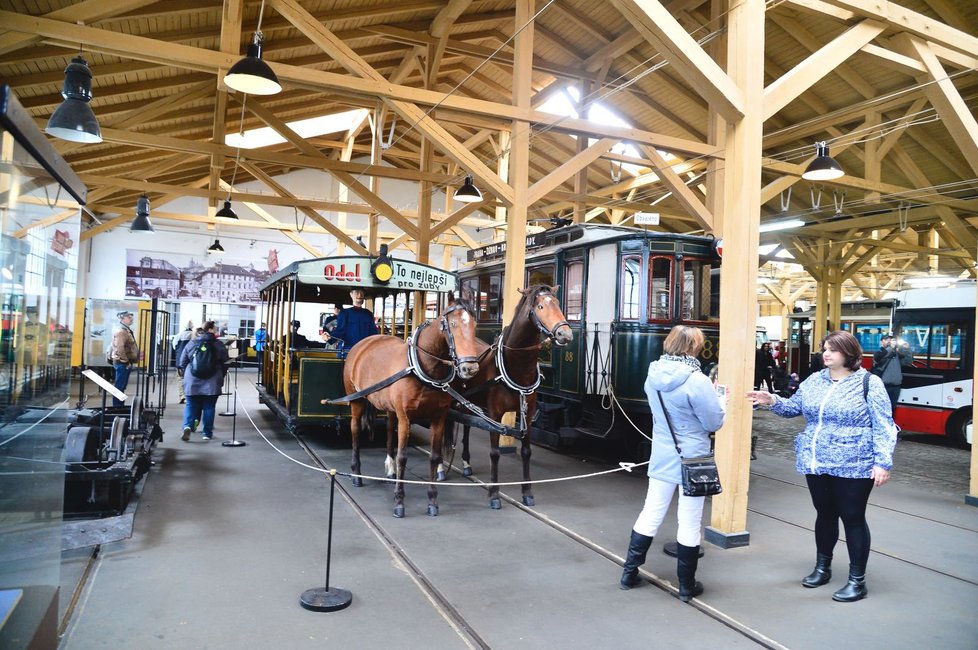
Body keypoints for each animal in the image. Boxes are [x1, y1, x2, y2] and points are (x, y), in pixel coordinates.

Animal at [344, 298, 480, 516]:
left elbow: (434, 457)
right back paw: (356, 473)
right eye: (453, 324)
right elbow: (403, 457)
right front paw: (399, 502)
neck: (422, 367)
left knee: (389, 430)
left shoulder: (439, 417)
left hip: (390, 408)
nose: (470, 368)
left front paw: (432, 501)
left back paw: (390, 472)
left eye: (475, 325)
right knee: (355, 429)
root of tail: (365, 341)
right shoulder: (405, 418)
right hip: (356, 400)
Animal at [450, 286, 572, 508]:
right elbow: (495, 453)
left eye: (558, 304)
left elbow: (526, 452)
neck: (517, 368)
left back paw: (466, 464)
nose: (565, 333)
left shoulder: (528, 415)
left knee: (466, 426)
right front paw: (494, 494)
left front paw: (527, 492)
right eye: (540, 306)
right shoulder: (495, 415)